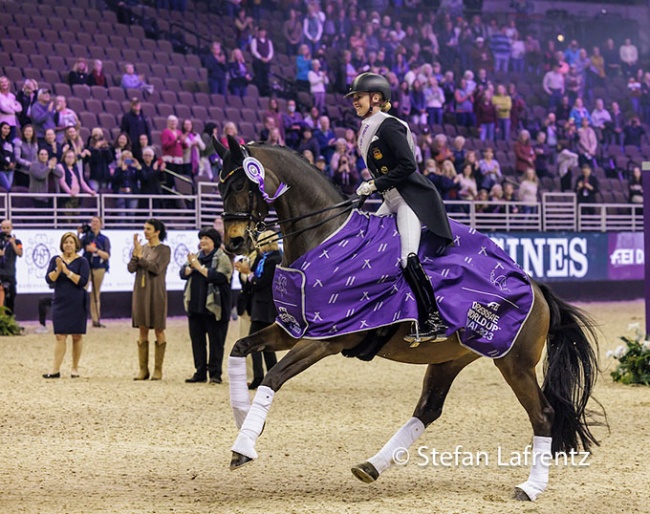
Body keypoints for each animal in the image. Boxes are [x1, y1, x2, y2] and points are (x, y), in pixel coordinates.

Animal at [214, 136, 604, 500]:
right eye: (220, 186)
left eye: (243, 185)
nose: (233, 244)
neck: (325, 238)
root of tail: (535, 287)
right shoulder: (294, 328)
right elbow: (239, 347)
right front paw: (242, 417)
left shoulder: (325, 339)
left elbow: (273, 378)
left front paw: (243, 446)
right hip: (451, 358)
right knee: (428, 409)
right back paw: (371, 466)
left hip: (514, 362)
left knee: (543, 415)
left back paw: (530, 487)